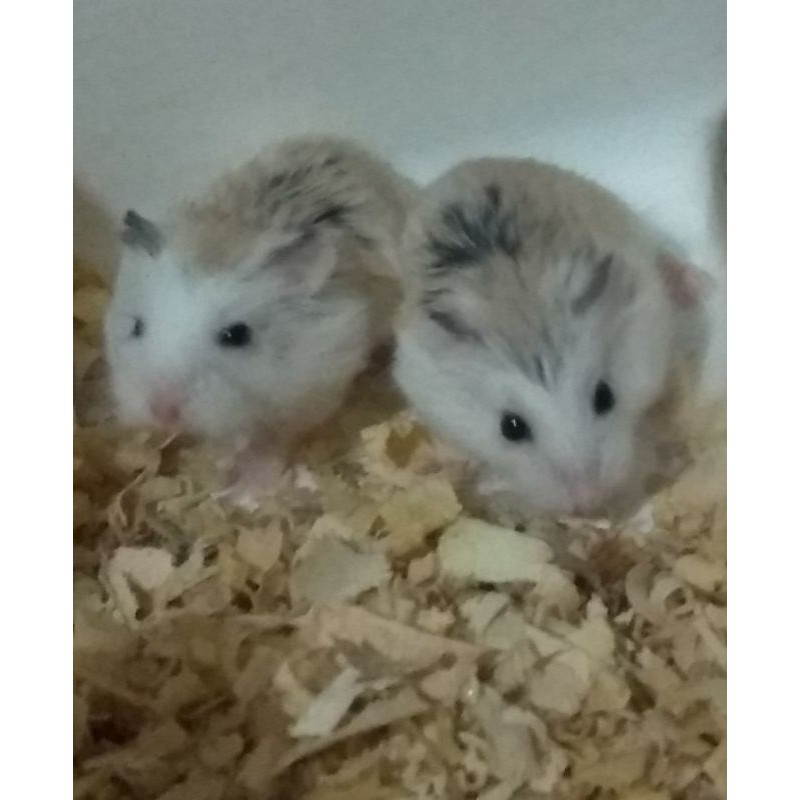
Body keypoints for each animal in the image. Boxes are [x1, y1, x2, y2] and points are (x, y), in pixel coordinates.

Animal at [104, 136, 416, 498]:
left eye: (237, 335)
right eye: (136, 326)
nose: (162, 412)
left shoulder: (309, 394)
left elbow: (273, 440)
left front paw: (249, 485)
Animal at [392, 158, 710, 518]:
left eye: (606, 396)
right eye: (510, 427)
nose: (590, 500)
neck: (518, 306)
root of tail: (468, 163)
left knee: (663, 256)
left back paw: (699, 283)